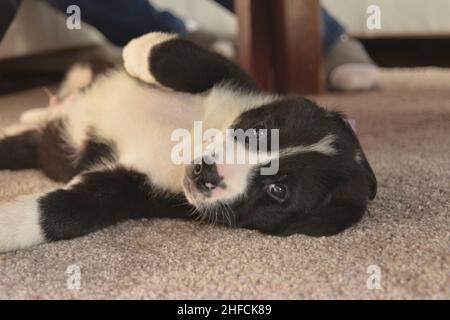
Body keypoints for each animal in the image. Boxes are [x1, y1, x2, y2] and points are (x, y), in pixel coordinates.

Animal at [0, 33, 376, 252]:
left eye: (278, 191)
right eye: (263, 129)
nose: (204, 172)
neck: (195, 134)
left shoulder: (137, 191)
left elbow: (72, 210)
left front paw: (7, 225)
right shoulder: (236, 79)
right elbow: (181, 57)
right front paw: (137, 49)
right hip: (81, 71)